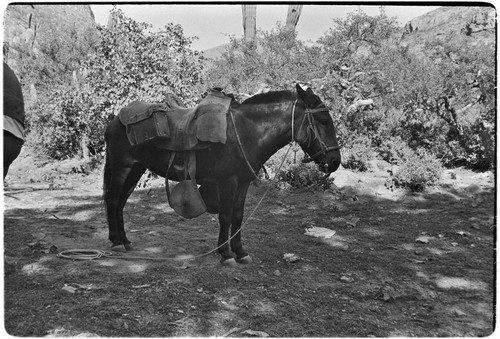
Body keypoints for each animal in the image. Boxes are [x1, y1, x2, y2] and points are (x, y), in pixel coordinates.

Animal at [103, 84, 342, 266]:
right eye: (323, 121)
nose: (335, 161)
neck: (247, 132)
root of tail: (113, 121)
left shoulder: (243, 182)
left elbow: (237, 216)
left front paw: (240, 252)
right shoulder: (228, 181)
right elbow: (225, 217)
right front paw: (225, 254)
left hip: (135, 170)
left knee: (120, 203)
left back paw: (123, 240)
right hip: (123, 168)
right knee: (113, 201)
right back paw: (117, 242)